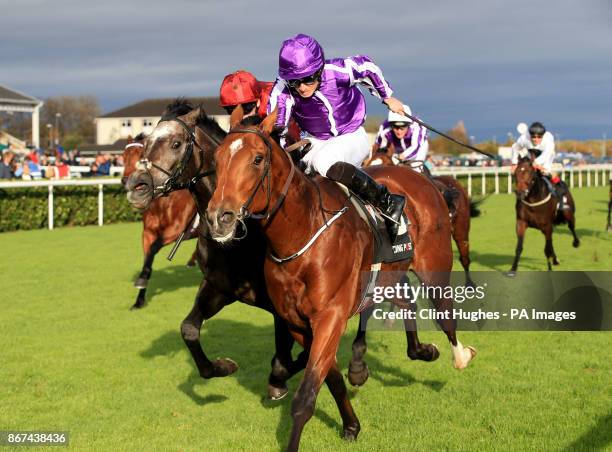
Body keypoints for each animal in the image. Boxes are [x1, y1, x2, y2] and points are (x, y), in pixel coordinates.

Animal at [123, 133, 200, 310]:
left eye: (141, 155)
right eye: (123, 156)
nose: (126, 181)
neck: (163, 202)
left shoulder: (175, 231)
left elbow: (153, 249)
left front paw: (141, 281)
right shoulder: (147, 233)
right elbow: (147, 259)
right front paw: (139, 299)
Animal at [208, 107, 476, 450]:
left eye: (257, 159)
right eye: (217, 158)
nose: (219, 218)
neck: (302, 234)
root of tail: (425, 182)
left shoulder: (330, 316)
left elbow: (305, 397)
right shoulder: (298, 324)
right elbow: (331, 378)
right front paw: (351, 424)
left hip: (435, 266)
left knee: (445, 316)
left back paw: (460, 355)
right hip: (387, 275)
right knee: (406, 303)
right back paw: (419, 351)